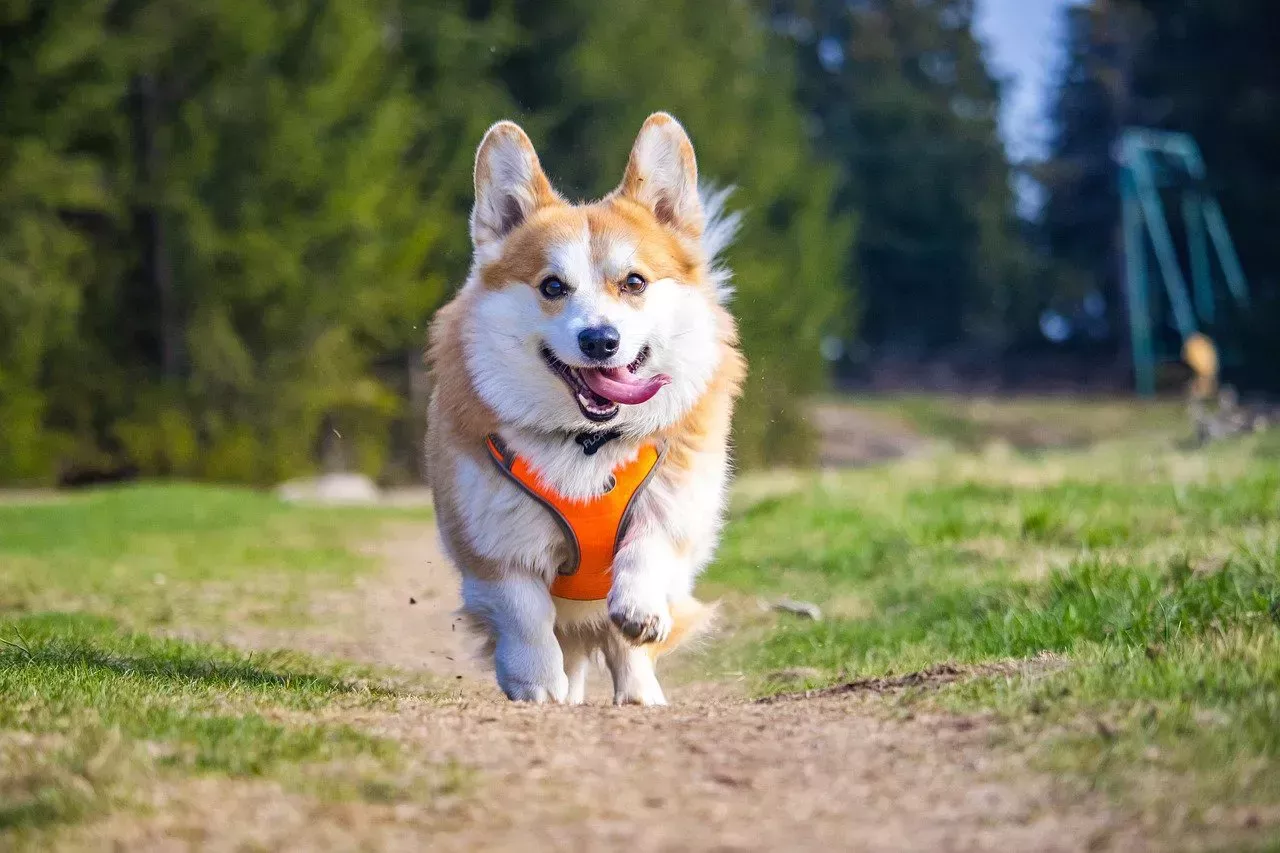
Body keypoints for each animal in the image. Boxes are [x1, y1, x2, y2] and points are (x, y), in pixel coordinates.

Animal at [424, 112, 747, 701]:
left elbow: (648, 549)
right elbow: (525, 613)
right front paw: (537, 683)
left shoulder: (675, 505)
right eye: (552, 286)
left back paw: (640, 695)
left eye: (635, 282)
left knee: (624, 650)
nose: (600, 340)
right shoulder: (493, 548)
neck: (588, 441)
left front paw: (639, 610)